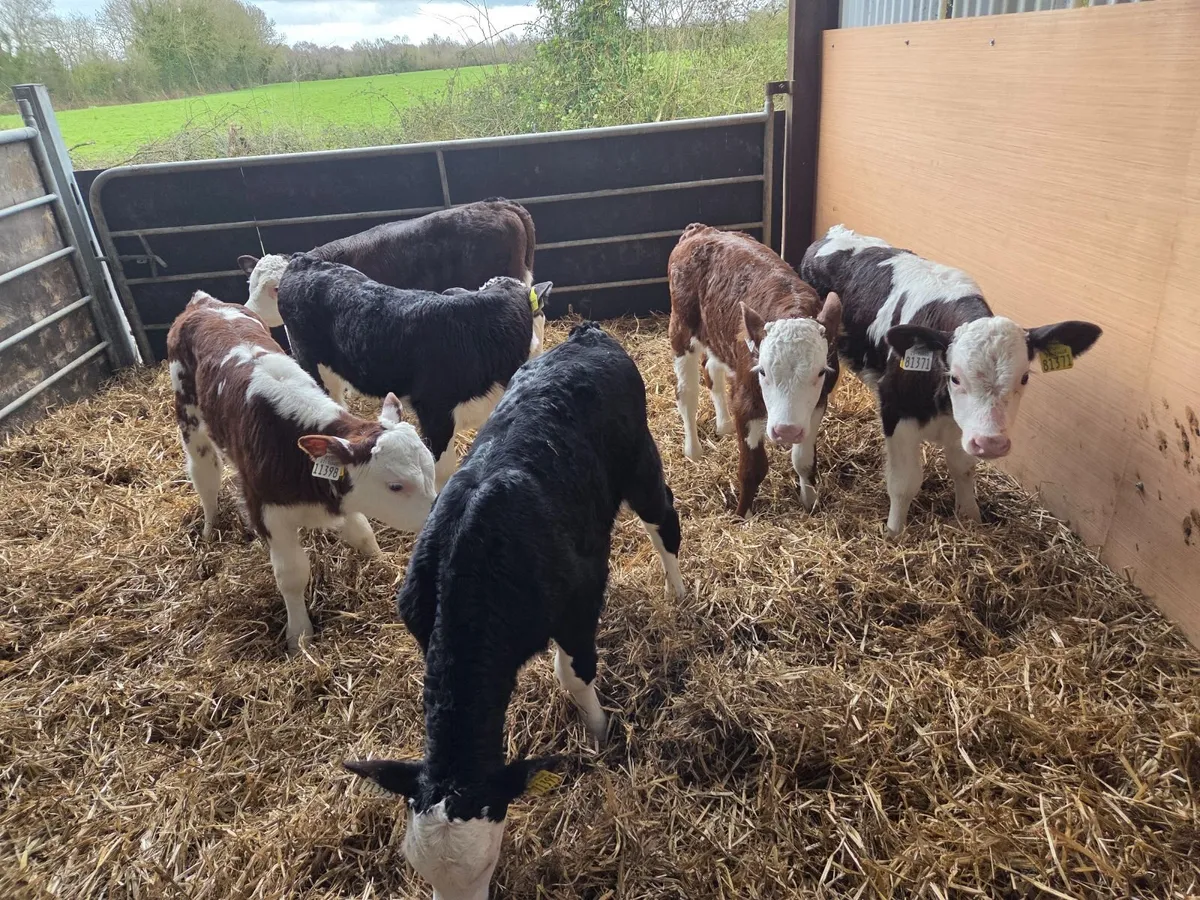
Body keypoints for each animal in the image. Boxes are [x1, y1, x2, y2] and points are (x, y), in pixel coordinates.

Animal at [166, 291, 437, 652]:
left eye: (431, 471)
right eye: (395, 486)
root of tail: (204, 303)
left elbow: (364, 533)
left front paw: (382, 565)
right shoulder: (266, 509)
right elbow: (292, 574)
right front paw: (299, 636)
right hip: (190, 418)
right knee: (204, 473)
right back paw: (210, 527)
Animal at [343, 322, 686, 900]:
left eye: (489, 862)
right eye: (416, 867)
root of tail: (587, 335)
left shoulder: (579, 601)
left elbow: (575, 676)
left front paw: (599, 737)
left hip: (640, 462)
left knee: (665, 519)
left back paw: (677, 594)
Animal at [667, 223, 842, 516]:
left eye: (820, 372)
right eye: (762, 372)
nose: (786, 431)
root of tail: (700, 230)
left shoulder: (819, 403)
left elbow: (803, 459)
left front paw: (809, 500)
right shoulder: (746, 400)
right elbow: (752, 467)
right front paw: (743, 514)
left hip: (717, 336)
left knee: (711, 370)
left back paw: (723, 424)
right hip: (681, 327)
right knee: (686, 393)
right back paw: (693, 450)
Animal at [801, 224, 1103, 536]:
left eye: (1025, 378)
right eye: (955, 378)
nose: (991, 443)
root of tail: (838, 231)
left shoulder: (963, 425)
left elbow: (964, 468)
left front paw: (970, 517)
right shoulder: (896, 409)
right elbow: (903, 482)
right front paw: (894, 533)